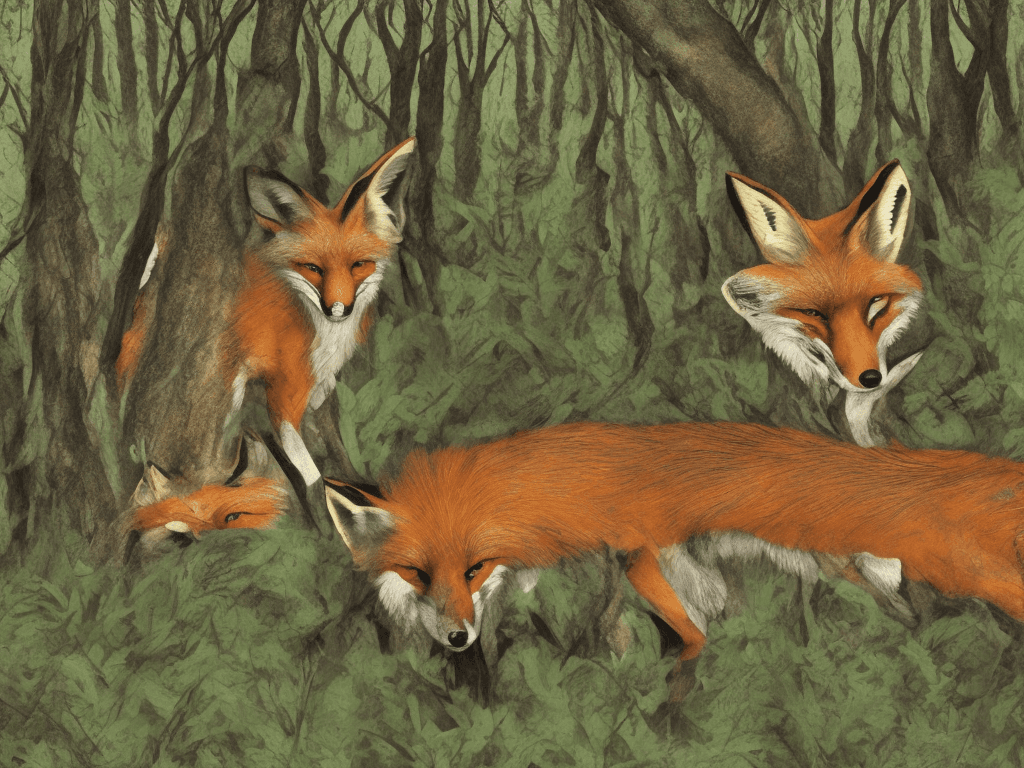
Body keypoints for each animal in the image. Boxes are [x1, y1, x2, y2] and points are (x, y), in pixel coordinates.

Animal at [323, 421, 1024, 663]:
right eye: (418, 574)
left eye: (473, 569)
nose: (457, 637)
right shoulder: (649, 567)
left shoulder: (640, 555)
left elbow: (689, 639)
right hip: (862, 574)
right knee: (909, 614)